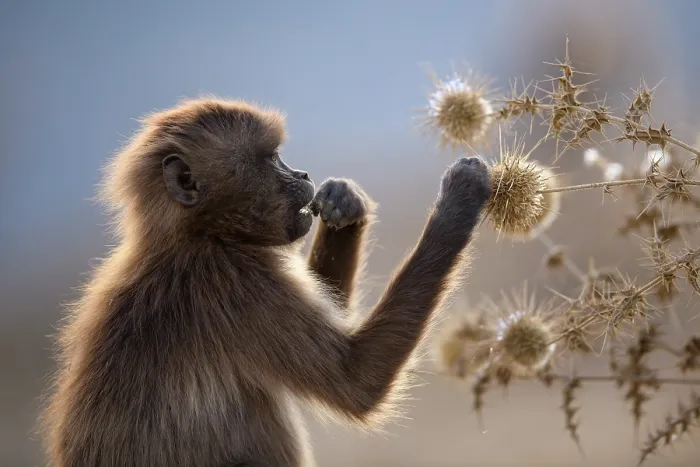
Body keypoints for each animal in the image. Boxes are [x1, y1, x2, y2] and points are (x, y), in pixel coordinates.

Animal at [40, 97, 492, 467]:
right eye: (272, 157)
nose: (303, 173)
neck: (197, 235)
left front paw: (344, 204)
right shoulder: (235, 282)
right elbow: (358, 379)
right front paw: (459, 201)